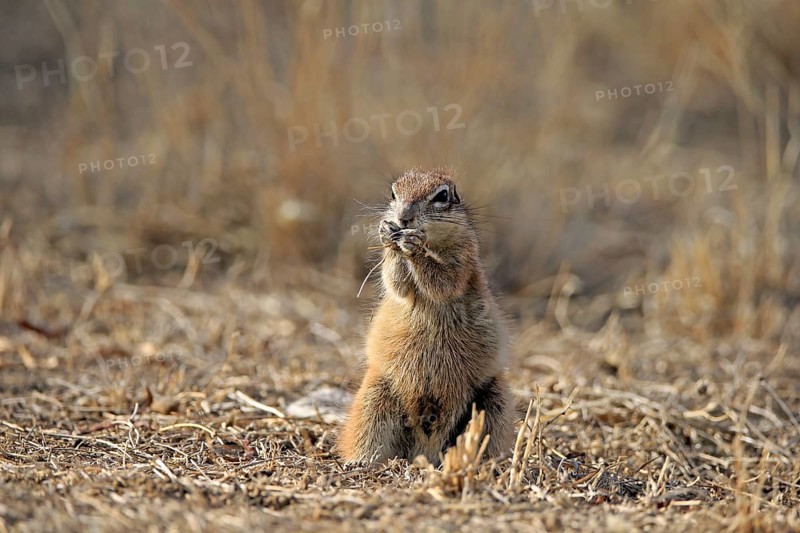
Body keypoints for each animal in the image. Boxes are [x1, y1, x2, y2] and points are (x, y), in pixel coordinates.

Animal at [338, 167, 515, 465]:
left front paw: (412, 244)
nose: (403, 217)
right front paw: (388, 234)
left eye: (442, 196)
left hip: (495, 400)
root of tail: (427, 449)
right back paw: (360, 462)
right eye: (393, 193)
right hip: (372, 399)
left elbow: (443, 281)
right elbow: (396, 282)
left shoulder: (463, 257)